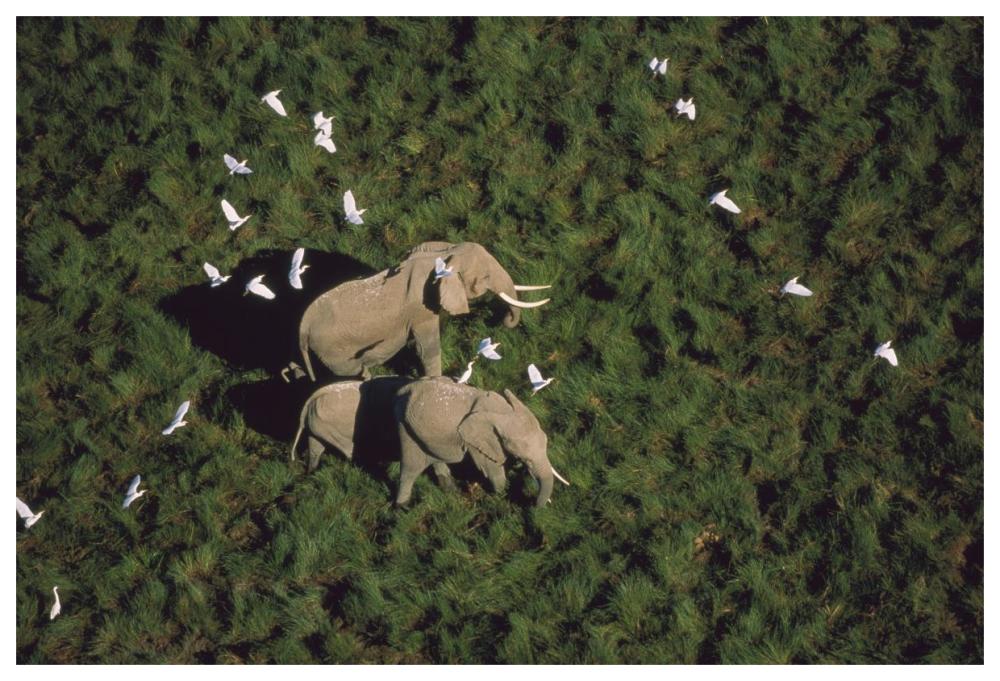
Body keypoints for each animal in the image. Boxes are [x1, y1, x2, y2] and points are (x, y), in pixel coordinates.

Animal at [297, 241, 550, 381]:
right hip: (331, 349)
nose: (503, 320)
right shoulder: (420, 311)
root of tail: (302, 329)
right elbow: (426, 348)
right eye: (486, 277)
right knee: (353, 371)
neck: (444, 255)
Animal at [392, 377, 569, 508]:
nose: (533, 503)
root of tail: (402, 389)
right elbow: (492, 470)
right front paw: (501, 496)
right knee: (410, 468)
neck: (502, 410)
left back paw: (451, 491)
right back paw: (403, 507)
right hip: (404, 425)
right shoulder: (477, 441)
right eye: (525, 458)